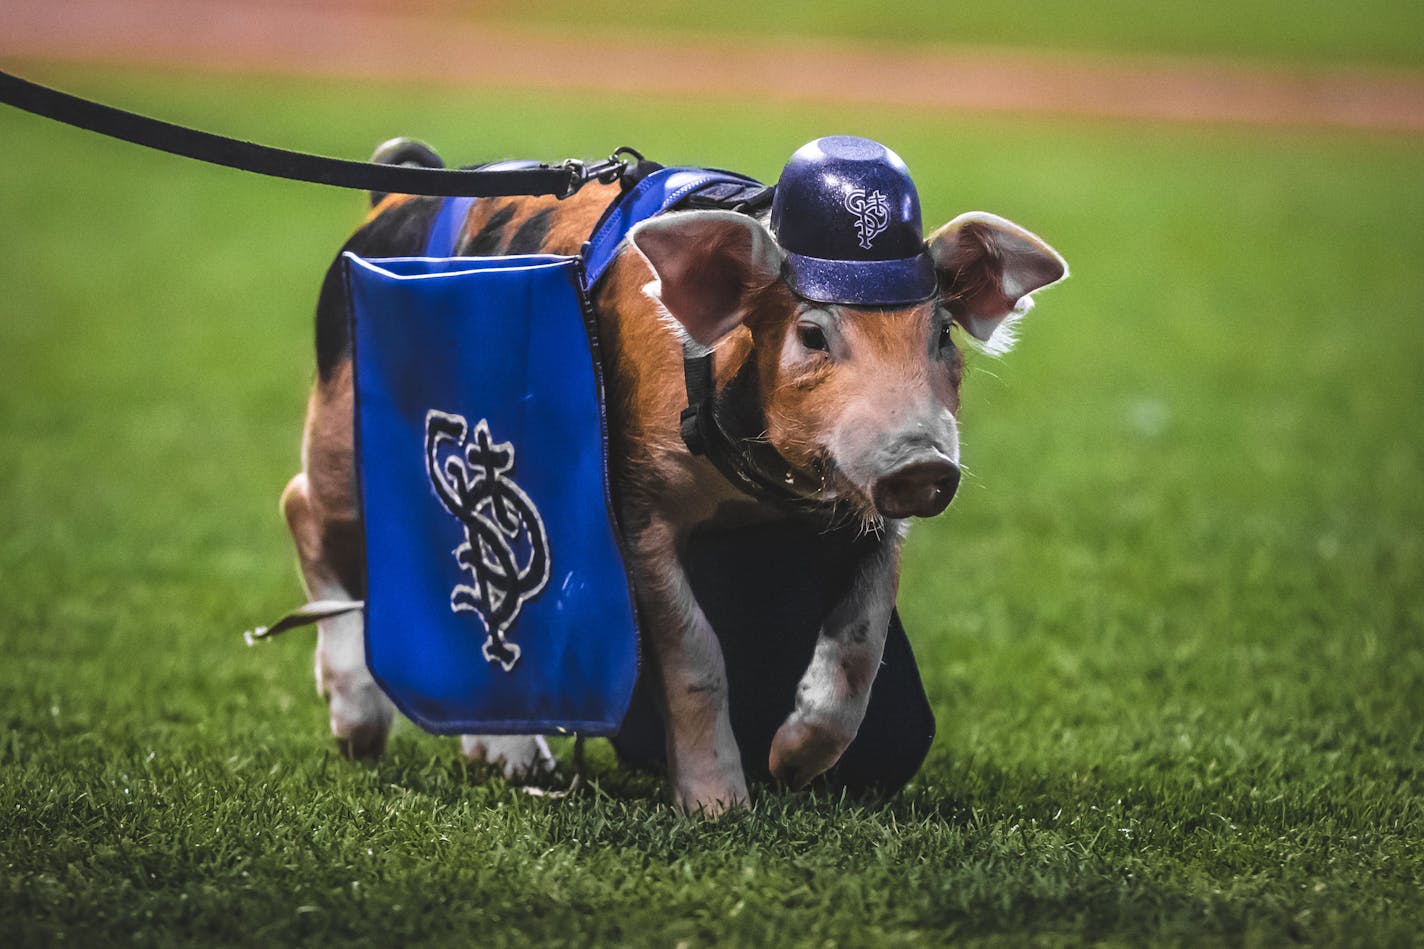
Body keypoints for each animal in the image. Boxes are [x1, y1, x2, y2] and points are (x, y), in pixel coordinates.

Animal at [277, 134, 1065, 815]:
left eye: (941, 334)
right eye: (812, 333)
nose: (924, 463)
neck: (754, 487)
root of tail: (388, 197)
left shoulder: (868, 515)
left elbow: (859, 646)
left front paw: (791, 763)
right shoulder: (638, 504)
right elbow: (694, 657)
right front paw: (720, 809)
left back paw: (512, 761)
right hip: (341, 417)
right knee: (303, 507)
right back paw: (360, 737)